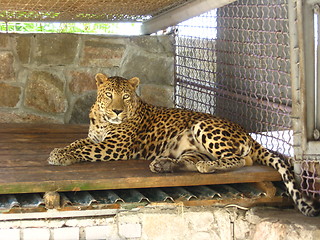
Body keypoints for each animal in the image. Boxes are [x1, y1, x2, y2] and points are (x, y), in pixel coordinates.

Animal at [48, 72, 318, 216]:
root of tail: (247, 134)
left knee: (241, 159)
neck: (103, 119)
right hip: (190, 148)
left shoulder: (114, 146)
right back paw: (165, 165)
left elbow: (85, 149)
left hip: (204, 126)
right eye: (108, 94)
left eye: (125, 97)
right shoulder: (97, 138)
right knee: (192, 161)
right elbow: (79, 142)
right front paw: (61, 151)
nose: (117, 111)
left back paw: (208, 167)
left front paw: (60, 156)